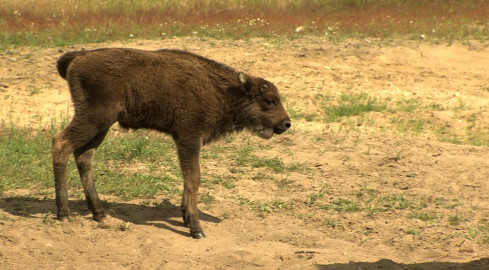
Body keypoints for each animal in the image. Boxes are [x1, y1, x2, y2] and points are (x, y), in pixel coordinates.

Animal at [53, 47, 290, 237]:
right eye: (269, 101)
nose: (286, 123)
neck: (223, 90)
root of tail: (79, 57)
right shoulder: (189, 138)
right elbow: (193, 178)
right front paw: (196, 229)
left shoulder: (189, 142)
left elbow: (187, 178)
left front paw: (185, 217)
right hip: (93, 119)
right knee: (61, 143)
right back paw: (63, 213)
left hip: (101, 126)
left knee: (84, 156)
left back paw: (99, 213)